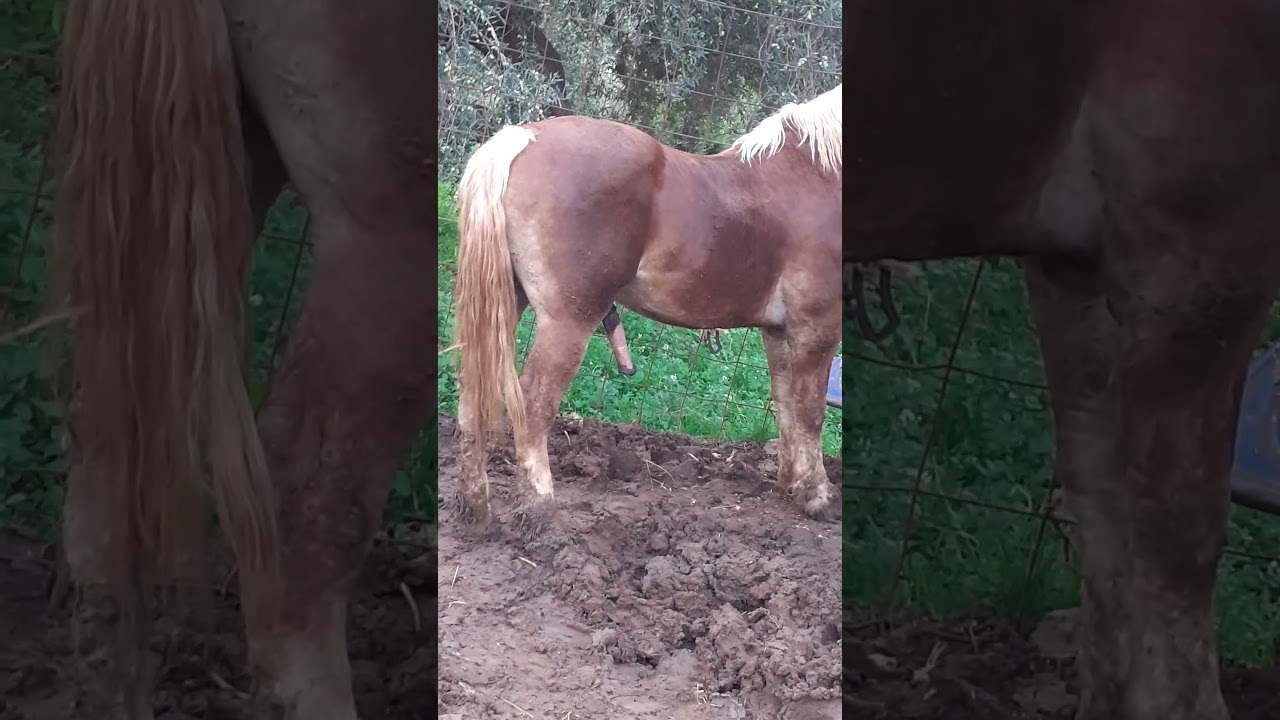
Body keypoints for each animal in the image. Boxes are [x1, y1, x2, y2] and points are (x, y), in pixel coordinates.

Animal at [448, 85, 843, 538]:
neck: (816, 173)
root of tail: (523, 139)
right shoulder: (817, 328)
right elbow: (811, 412)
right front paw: (818, 496)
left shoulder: (777, 332)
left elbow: (786, 407)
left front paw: (791, 485)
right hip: (568, 321)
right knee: (533, 404)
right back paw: (539, 509)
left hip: (505, 305)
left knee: (470, 391)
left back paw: (475, 507)